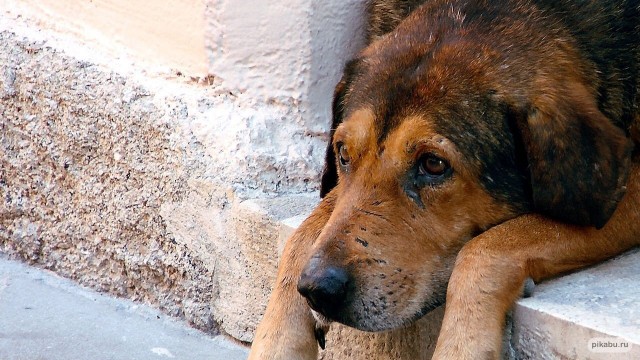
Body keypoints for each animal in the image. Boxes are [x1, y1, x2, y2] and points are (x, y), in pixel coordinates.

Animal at [249, 1, 640, 358]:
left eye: (434, 164)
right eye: (343, 153)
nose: (318, 289)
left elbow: (484, 249)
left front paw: (463, 345)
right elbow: (303, 233)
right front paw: (277, 342)